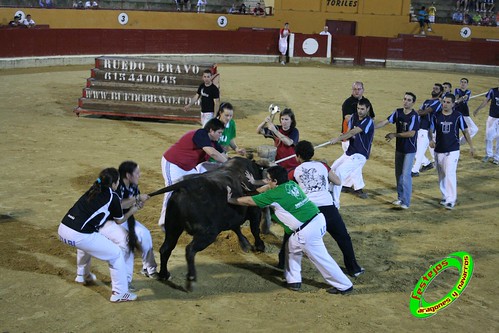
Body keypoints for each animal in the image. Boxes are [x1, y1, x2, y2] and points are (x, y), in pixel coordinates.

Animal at [147, 157, 266, 290]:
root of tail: (185, 186)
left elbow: (237, 228)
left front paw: (245, 244)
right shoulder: (255, 210)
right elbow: (254, 229)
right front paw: (259, 246)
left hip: (173, 227)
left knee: (166, 248)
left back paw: (164, 274)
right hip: (208, 233)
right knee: (190, 250)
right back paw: (191, 279)